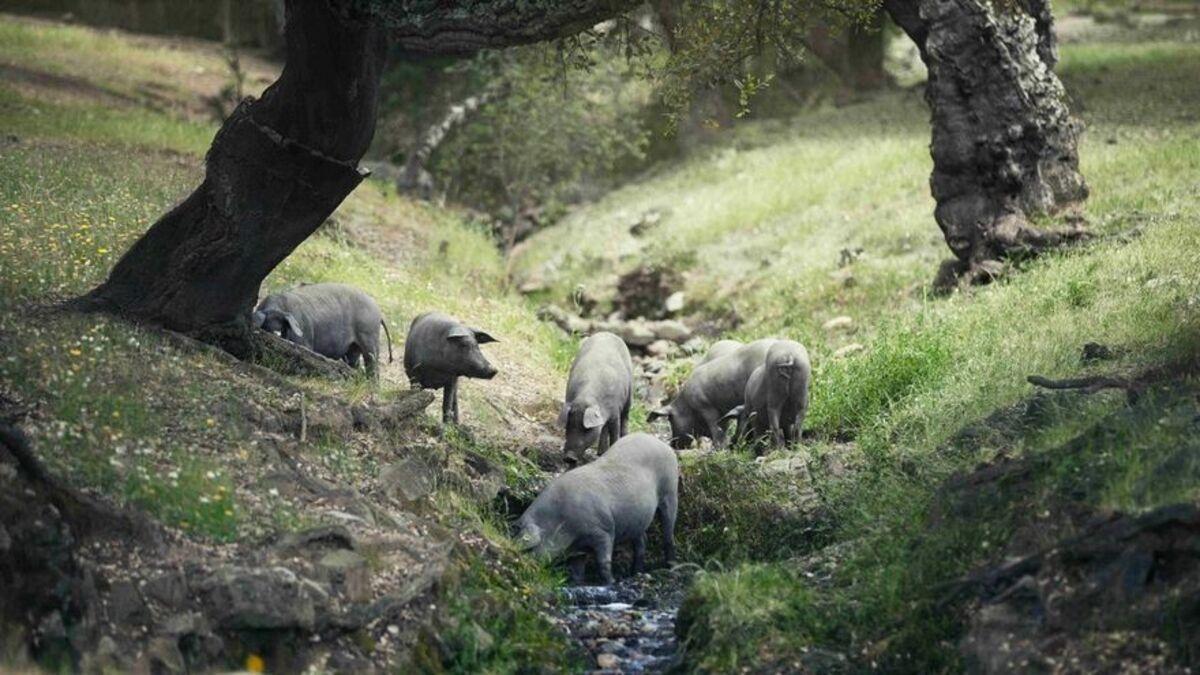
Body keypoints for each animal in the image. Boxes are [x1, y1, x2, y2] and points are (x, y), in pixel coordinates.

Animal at [513, 429, 676, 583]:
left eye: (530, 548)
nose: (522, 566)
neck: (561, 522)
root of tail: (662, 444)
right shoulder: (578, 549)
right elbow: (577, 569)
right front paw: (578, 583)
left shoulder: (604, 531)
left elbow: (603, 561)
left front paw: (611, 582)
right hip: (638, 519)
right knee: (642, 540)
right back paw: (636, 572)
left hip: (670, 489)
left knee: (668, 531)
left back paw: (670, 566)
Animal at [648, 336, 777, 446]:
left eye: (670, 419)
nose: (672, 445)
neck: (687, 406)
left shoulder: (706, 407)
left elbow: (716, 429)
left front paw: (719, 448)